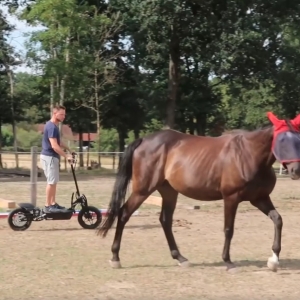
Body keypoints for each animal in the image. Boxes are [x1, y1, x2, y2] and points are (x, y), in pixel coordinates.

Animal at [97, 124, 300, 272]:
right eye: (282, 142)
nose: (296, 170)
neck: (250, 154)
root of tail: (143, 140)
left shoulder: (260, 198)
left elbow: (278, 220)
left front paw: (274, 260)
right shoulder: (231, 198)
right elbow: (229, 229)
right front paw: (228, 262)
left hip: (169, 192)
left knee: (165, 220)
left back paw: (180, 258)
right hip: (142, 190)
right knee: (124, 213)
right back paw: (115, 258)